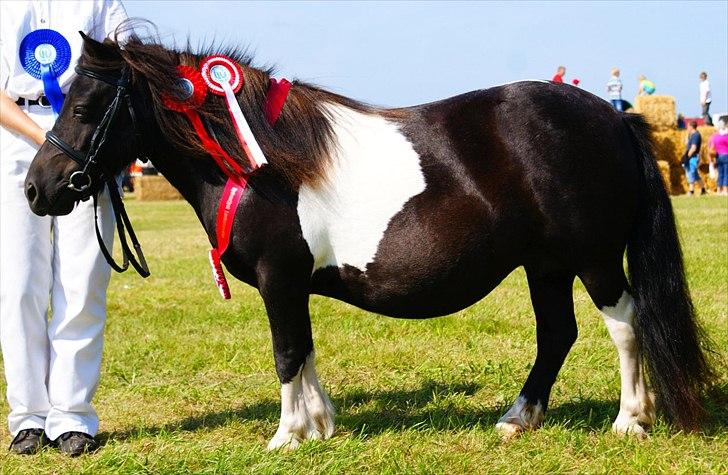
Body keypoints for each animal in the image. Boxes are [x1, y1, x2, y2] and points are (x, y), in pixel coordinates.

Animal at [25, 33, 712, 450]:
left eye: (84, 107)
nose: (37, 189)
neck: (261, 161)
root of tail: (612, 118)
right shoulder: (292, 283)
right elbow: (303, 351)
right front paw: (319, 426)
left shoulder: (278, 278)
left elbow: (286, 353)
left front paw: (286, 436)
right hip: (545, 265)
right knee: (557, 334)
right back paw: (518, 419)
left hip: (593, 260)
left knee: (625, 323)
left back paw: (631, 419)